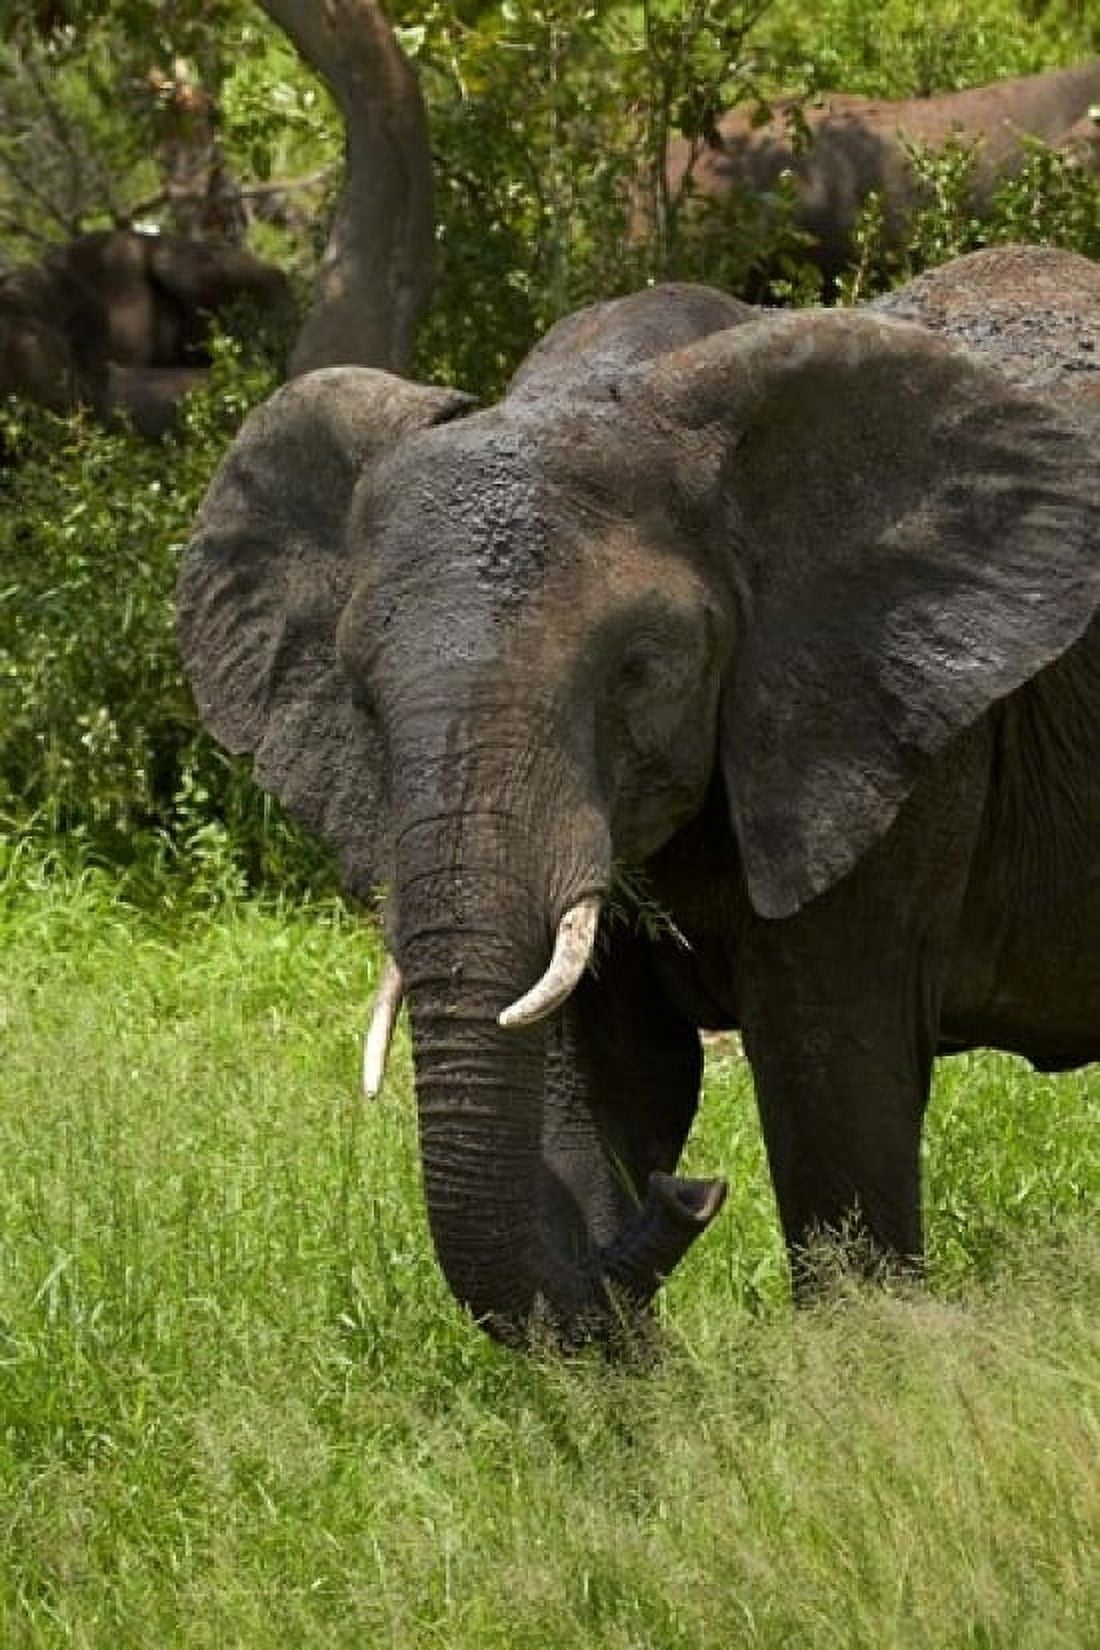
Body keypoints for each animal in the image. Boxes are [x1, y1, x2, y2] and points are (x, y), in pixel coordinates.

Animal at [178, 245, 1100, 1351]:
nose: (693, 1190)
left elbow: (832, 1080)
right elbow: (594, 1081)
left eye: (639, 670)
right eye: (360, 695)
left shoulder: (884, 718)